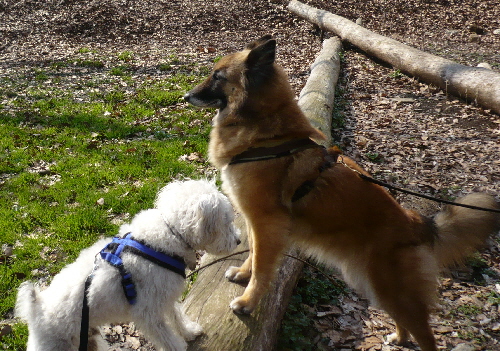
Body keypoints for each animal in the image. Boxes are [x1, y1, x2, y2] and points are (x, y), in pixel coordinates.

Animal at [15, 180, 240, 350]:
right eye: (227, 222)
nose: (238, 240)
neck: (167, 235)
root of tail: (35, 309)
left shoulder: (164, 298)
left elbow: (177, 317)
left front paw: (189, 332)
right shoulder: (148, 313)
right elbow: (168, 338)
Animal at [184, 36, 500, 351]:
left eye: (218, 76)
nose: (187, 96)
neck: (268, 137)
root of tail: (416, 223)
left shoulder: (267, 223)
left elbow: (262, 267)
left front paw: (248, 302)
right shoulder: (258, 223)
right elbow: (253, 254)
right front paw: (242, 273)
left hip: (393, 287)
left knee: (425, 334)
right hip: (375, 285)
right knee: (404, 321)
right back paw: (398, 337)